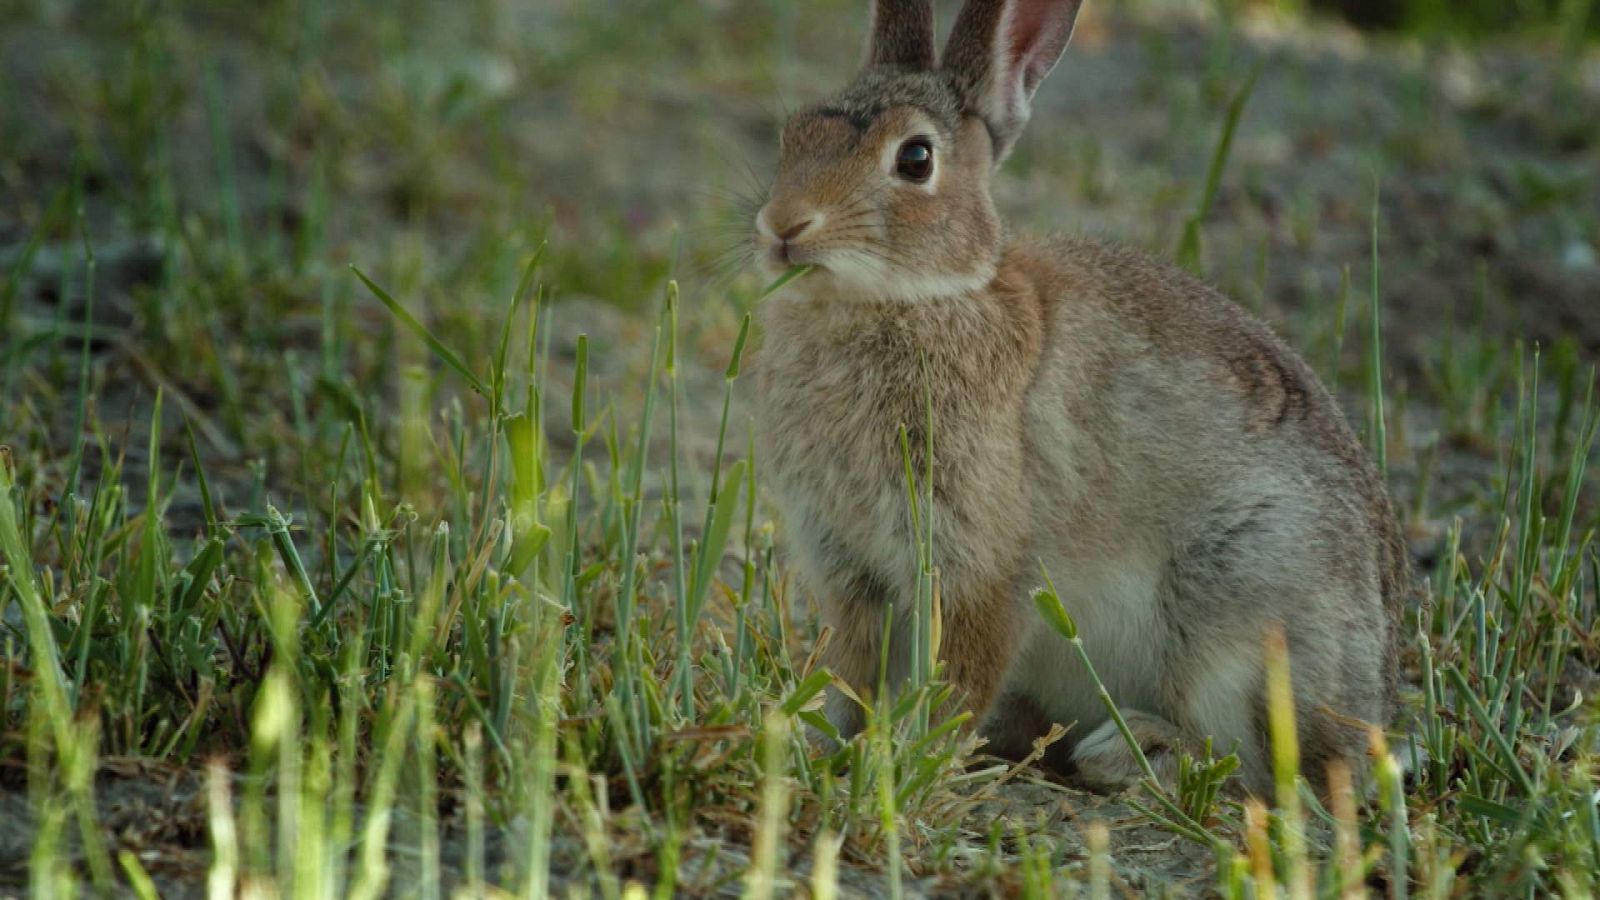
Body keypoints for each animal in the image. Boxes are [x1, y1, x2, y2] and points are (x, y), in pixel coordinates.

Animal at [742, 0, 1408, 791]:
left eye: (915, 159)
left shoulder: (983, 564)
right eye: (794, 133)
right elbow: (851, 669)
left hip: (1240, 600)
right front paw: (820, 744)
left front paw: (911, 755)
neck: (919, 297)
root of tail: (1370, 707)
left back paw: (1128, 749)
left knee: (1251, 763)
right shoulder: (847, 567)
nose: (783, 226)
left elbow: (962, 669)